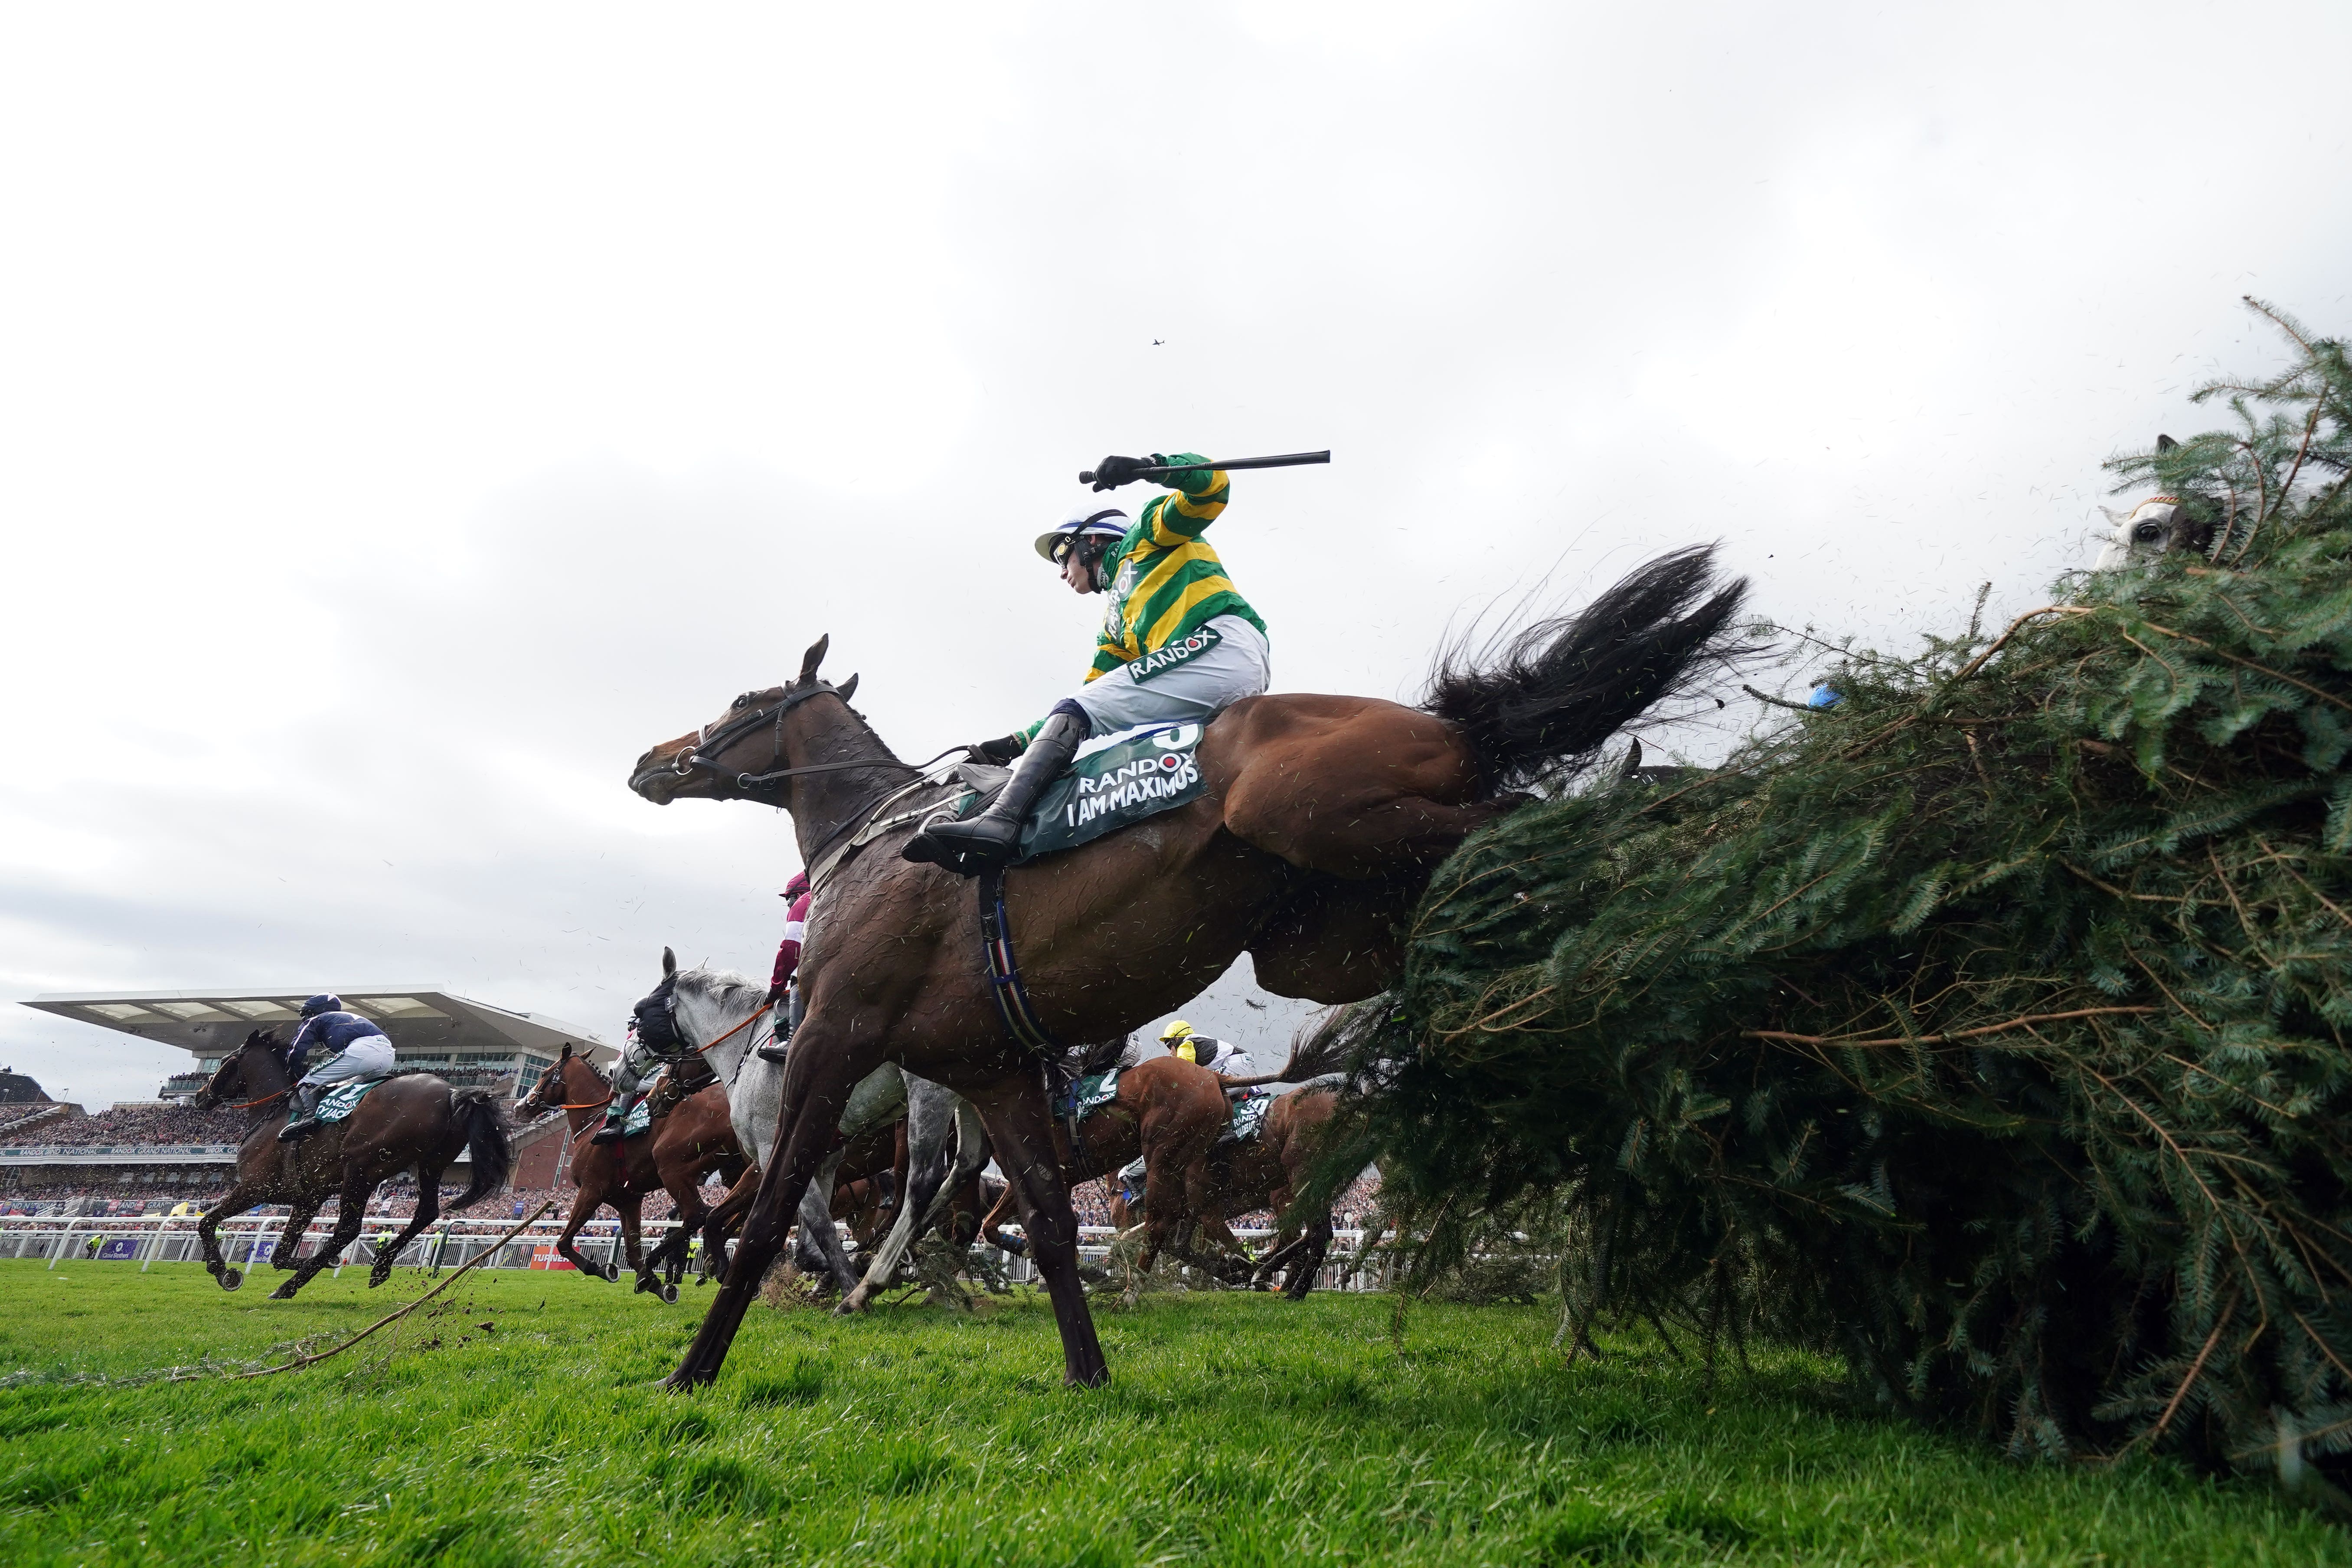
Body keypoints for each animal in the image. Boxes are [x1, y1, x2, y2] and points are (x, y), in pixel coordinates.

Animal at [190, 1029, 513, 1297]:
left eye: (224, 1061)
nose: (199, 1096)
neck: (275, 1115)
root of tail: (452, 1093)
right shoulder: (308, 1198)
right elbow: (280, 1254)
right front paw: (314, 1260)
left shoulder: (255, 1188)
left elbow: (207, 1222)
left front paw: (225, 1273)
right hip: (431, 1165)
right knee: (426, 1213)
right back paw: (380, 1265)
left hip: (360, 1168)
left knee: (348, 1228)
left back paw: (289, 1286)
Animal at [519, 1048, 748, 1297]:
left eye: (543, 1073)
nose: (521, 1106)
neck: (594, 1121)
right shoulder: (628, 1200)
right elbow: (631, 1250)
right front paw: (653, 1282)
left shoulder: (591, 1190)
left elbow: (564, 1242)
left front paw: (603, 1269)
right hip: (731, 1169)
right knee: (733, 1211)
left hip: (671, 1164)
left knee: (700, 1215)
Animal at [625, 550, 1750, 1382]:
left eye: (742, 699)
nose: (650, 759)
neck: (879, 837)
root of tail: (1438, 722)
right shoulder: (992, 1065)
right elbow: (1043, 1218)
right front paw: (1086, 1371)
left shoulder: (834, 1034)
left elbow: (774, 1208)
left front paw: (696, 1366)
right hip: (1324, 931)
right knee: (1496, 855)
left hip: (1310, 813)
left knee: (1525, 814)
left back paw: (1676, 821)